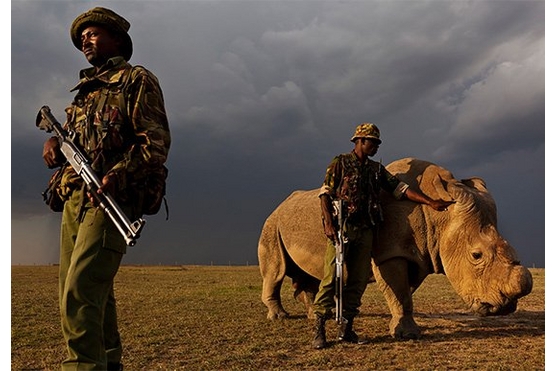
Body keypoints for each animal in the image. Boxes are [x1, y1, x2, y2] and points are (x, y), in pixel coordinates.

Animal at [258, 157, 536, 340]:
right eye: (476, 255)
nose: (506, 307)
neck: (439, 217)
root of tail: (279, 206)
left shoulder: (419, 253)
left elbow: (403, 292)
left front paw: (400, 327)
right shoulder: (389, 253)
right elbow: (399, 290)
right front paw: (407, 335)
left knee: (310, 276)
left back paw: (312, 315)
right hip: (271, 223)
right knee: (276, 270)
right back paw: (280, 317)